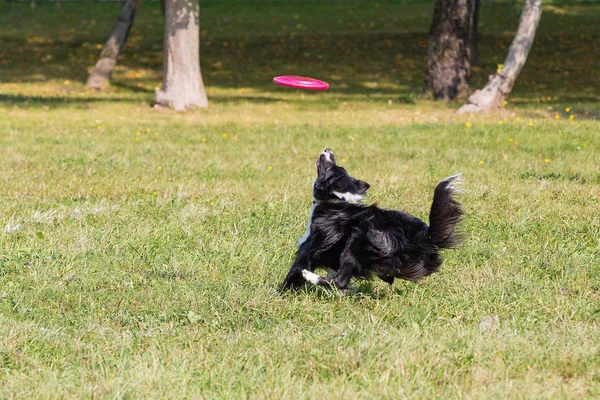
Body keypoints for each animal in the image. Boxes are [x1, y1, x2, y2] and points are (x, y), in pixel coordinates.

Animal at [282, 148, 464, 290]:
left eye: (330, 167)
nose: (328, 150)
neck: (335, 201)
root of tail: (424, 237)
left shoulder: (307, 251)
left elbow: (292, 275)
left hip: (359, 239)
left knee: (339, 280)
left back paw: (310, 276)